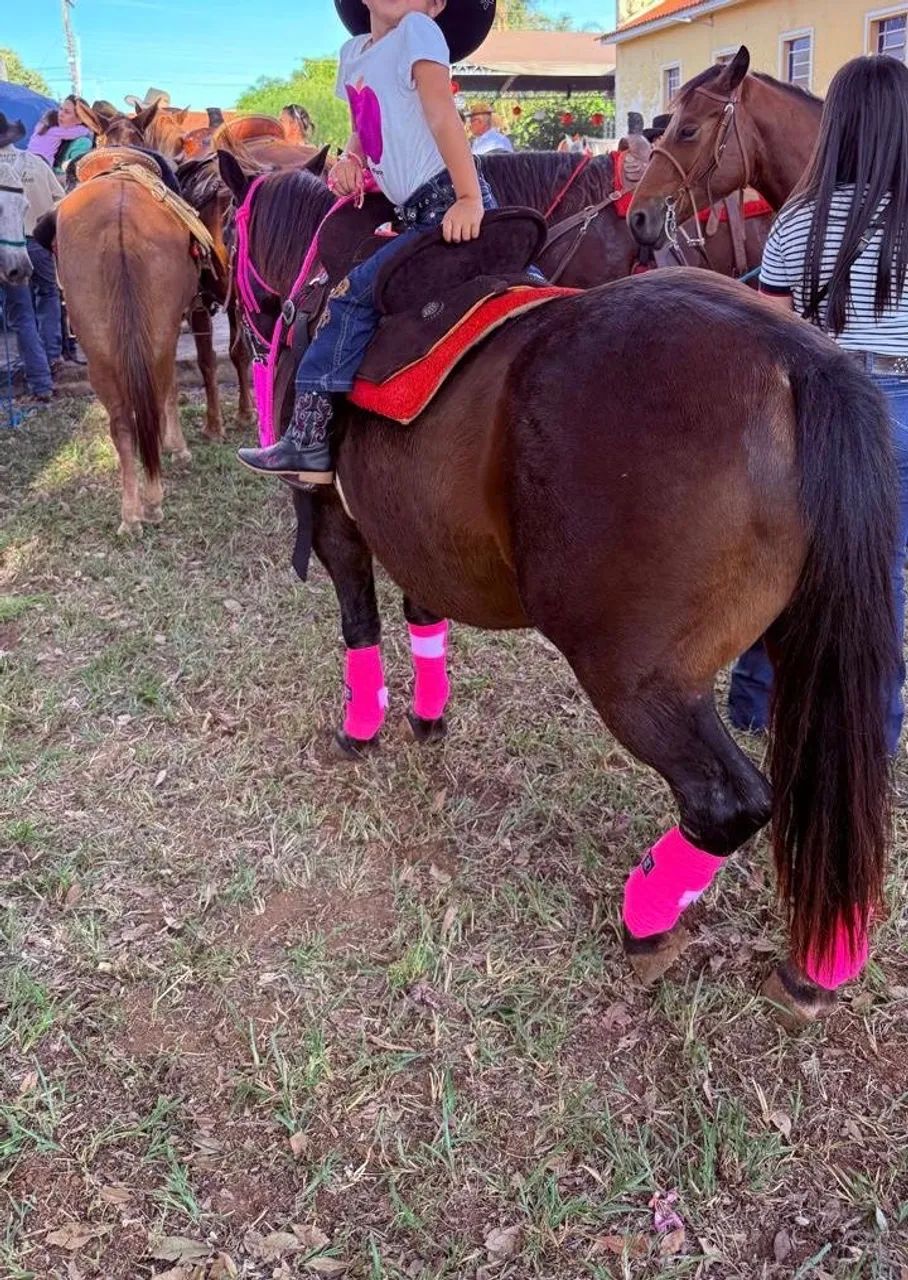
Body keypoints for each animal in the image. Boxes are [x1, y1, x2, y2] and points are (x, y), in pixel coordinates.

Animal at [220, 160, 898, 1028]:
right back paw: (822, 959)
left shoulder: (341, 519)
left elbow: (358, 620)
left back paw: (649, 916)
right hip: (813, 645)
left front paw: (362, 726)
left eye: (227, 229)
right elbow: (422, 614)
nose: (237, 325)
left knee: (728, 801)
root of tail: (797, 359)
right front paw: (428, 717)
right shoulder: (420, 533)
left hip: (637, 677)